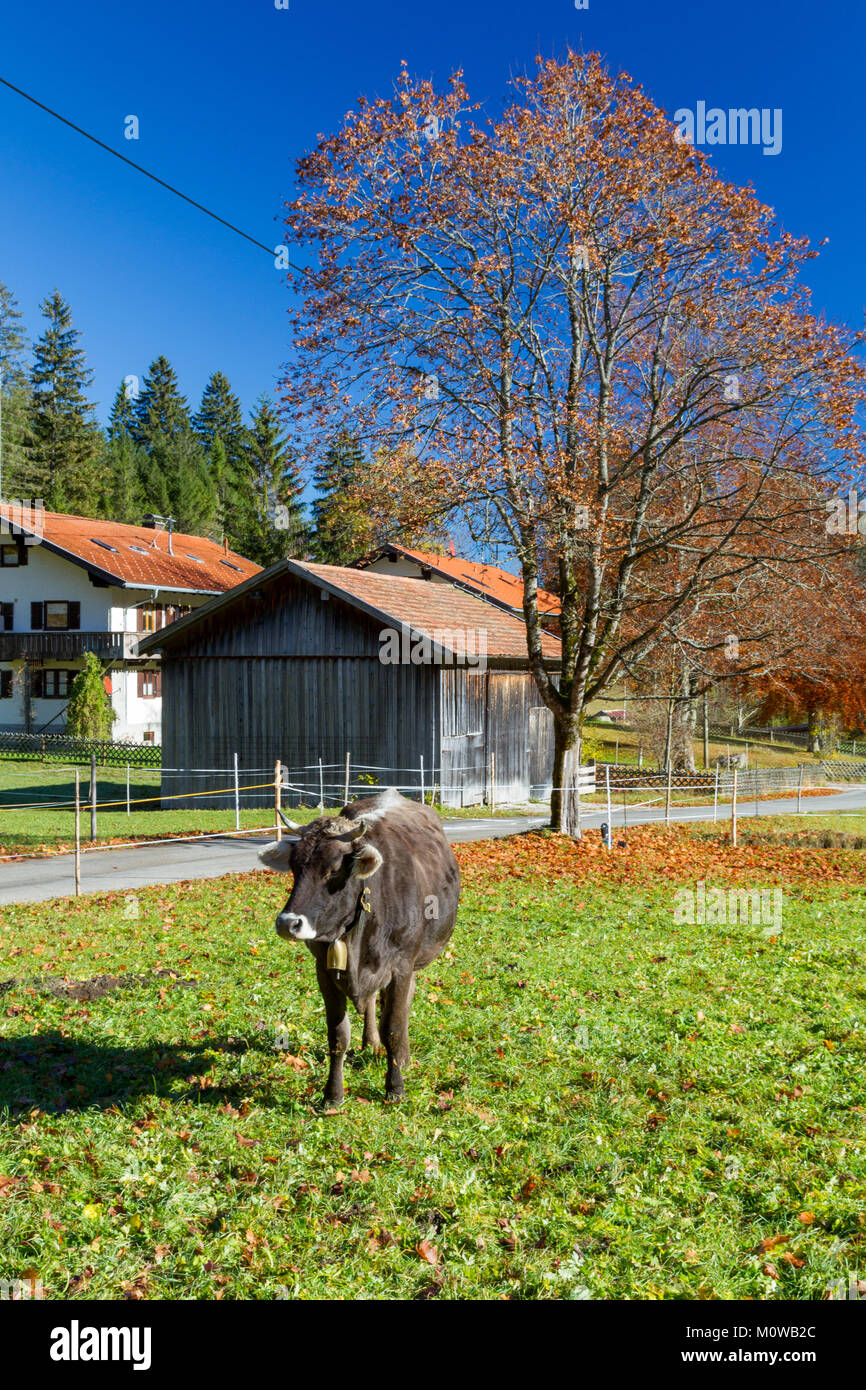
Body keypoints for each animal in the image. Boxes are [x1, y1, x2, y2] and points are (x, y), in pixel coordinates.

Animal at [258, 788, 459, 1106]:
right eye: (294, 867)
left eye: (334, 870)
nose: (287, 923)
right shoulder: (324, 971)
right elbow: (338, 1034)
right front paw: (333, 1095)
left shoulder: (400, 966)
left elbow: (394, 1027)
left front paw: (395, 1088)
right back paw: (370, 1043)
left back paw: (403, 1057)